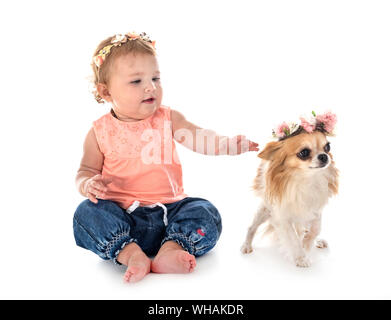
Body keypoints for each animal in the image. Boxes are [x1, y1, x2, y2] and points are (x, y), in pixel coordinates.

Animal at [240, 129, 338, 266]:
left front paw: (307, 243)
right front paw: (301, 257)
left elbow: (315, 229)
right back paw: (247, 245)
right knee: (252, 227)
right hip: (265, 210)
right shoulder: (282, 217)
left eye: (327, 147)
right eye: (304, 153)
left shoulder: (315, 209)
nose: (324, 156)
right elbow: (293, 239)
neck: (305, 180)